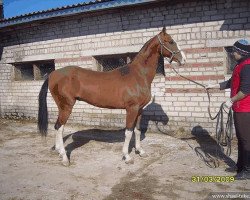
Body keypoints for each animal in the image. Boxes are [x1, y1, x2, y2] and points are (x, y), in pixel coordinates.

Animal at [37, 27, 186, 166]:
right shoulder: (131, 109)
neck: (138, 75)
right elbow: (128, 132)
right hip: (67, 107)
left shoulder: (139, 110)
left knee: (57, 127)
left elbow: (137, 130)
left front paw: (140, 151)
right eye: (171, 41)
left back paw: (58, 151)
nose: (183, 59)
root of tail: (53, 74)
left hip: (62, 107)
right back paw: (64, 158)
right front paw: (127, 157)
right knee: (59, 127)